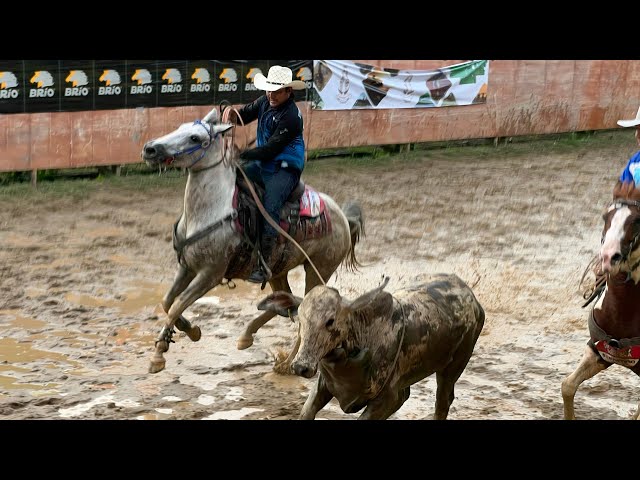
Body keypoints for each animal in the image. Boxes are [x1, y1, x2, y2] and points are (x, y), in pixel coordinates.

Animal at [139, 107, 364, 374]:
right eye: (180, 127)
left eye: (195, 138)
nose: (150, 149)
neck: (210, 211)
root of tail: (342, 216)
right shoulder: (186, 266)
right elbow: (168, 302)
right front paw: (190, 331)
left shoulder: (210, 273)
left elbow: (177, 304)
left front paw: (158, 356)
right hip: (277, 270)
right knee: (289, 303)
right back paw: (251, 337)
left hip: (319, 269)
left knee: (306, 313)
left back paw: (288, 363)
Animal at [258, 274, 482, 420]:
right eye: (300, 319)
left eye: (330, 320)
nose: (301, 366)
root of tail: (472, 299)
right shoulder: (324, 385)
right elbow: (307, 411)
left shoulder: (388, 398)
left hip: (454, 366)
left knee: (442, 402)